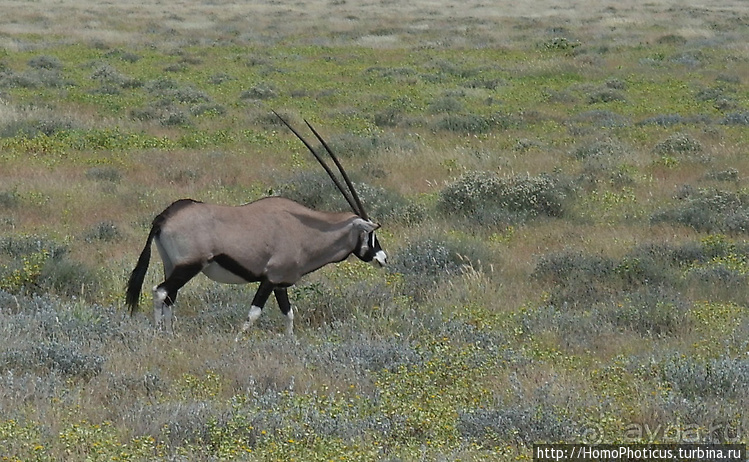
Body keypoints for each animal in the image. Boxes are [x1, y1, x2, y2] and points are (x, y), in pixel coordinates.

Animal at [124, 112, 386, 336]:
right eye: (370, 234)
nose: (383, 258)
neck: (304, 230)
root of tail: (164, 216)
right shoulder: (270, 278)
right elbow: (254, 313)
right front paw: (237, 340)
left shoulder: (280, 284)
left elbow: (288, 313)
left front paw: (290, 342)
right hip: (188, 266)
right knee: (160, 292)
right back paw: (159, 333)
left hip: (172, 266)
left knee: (170, 297)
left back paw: (170, 334)